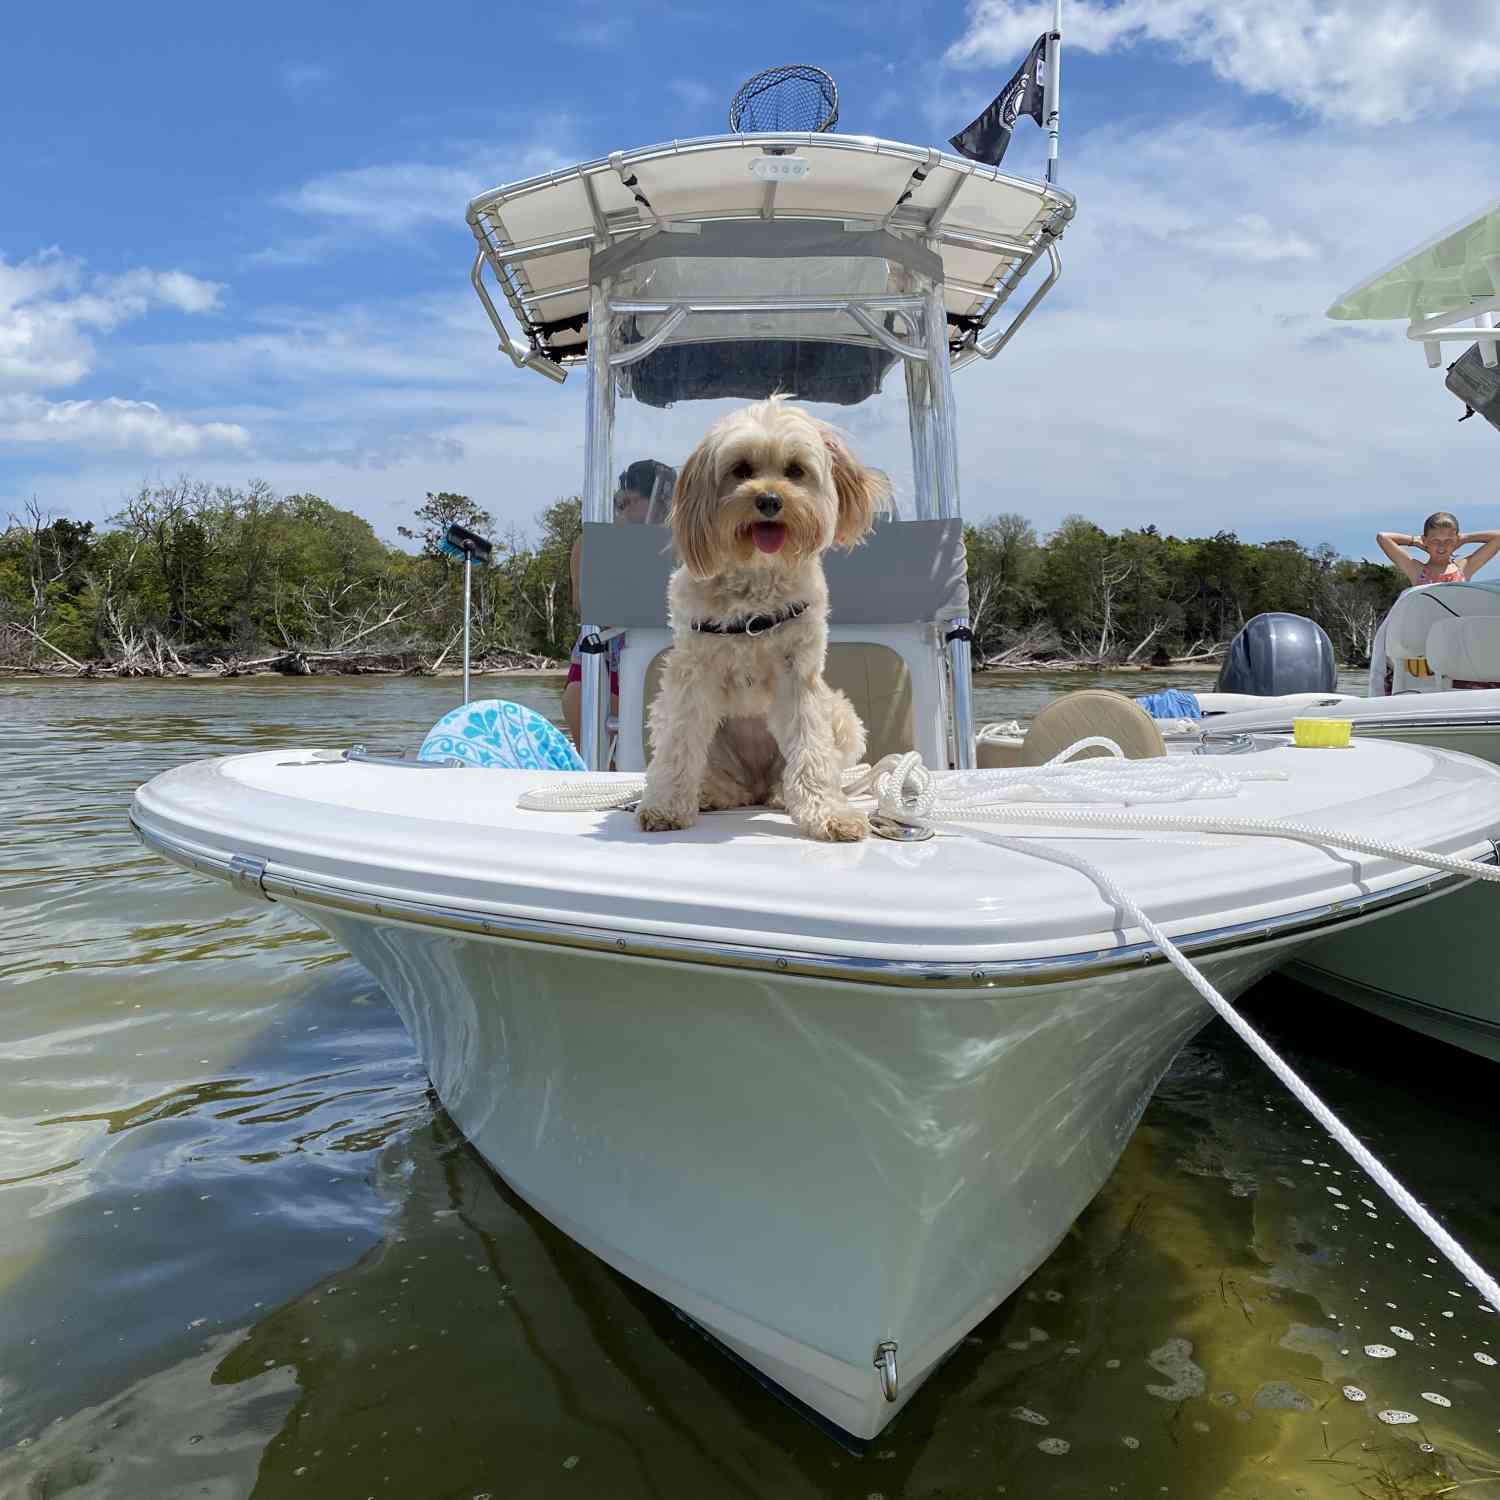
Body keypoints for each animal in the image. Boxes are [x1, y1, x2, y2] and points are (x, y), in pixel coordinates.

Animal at [636, 399, 888, 840]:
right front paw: (665, 806)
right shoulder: (690, 674)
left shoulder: (799, 674)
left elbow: (811, 747)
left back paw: (781, 794)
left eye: (795, 470)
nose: (769, 500)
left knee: (794, 770)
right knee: (722, 778)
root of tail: (754, 783)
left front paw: (828, 813)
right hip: (668, 713)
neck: (755, 587)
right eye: (741, 469)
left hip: (842, 715)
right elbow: (679, 744)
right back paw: (711, 793)